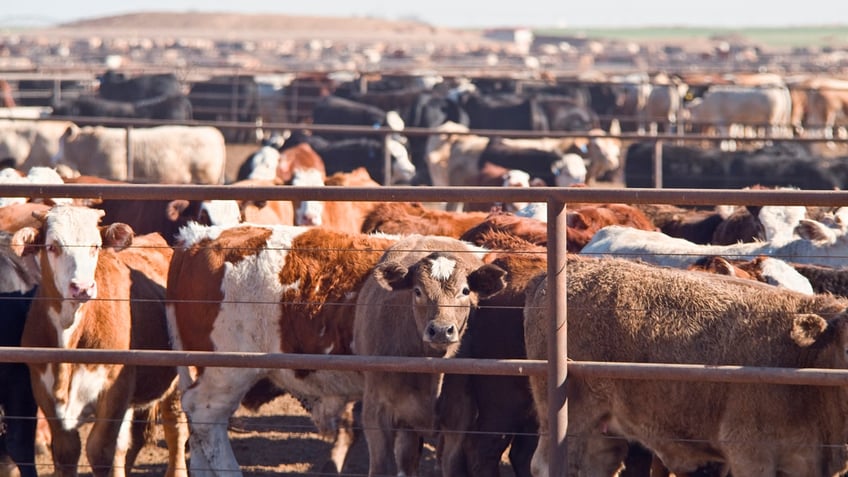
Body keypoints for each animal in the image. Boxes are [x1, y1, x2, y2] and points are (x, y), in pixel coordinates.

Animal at [13, 205, 189, 476]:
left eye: (95, 246)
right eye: (52, 246)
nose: (82, 288)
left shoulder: (115, 388)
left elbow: (100, 451)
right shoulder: (43, 389)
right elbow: (67, 452)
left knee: (176, 430)